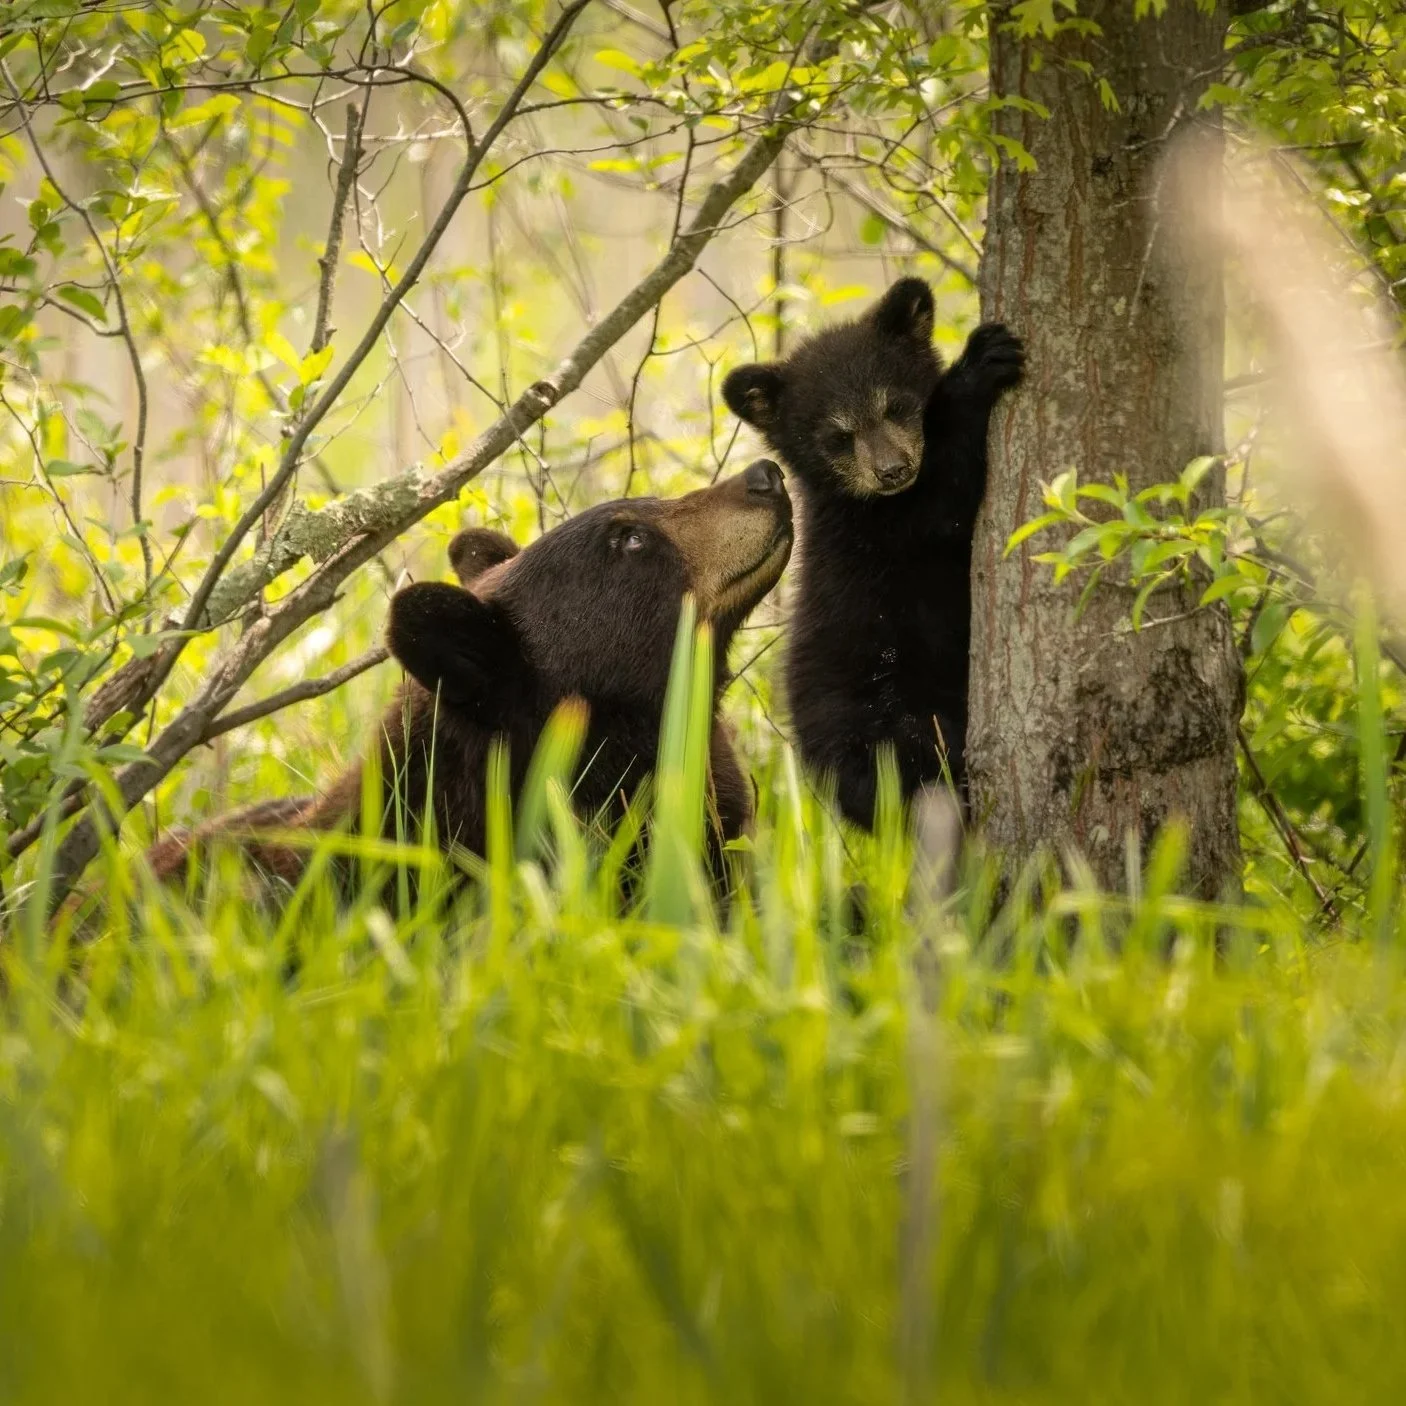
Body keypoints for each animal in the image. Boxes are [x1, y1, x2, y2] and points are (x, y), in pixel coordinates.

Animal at [721, 277, 1023, 829]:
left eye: (895, 406)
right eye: (838, 436)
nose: (892, 469)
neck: (865, 500)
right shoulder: (874, 530)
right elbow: (943, 505)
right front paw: (977, 367)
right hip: (884, 715)